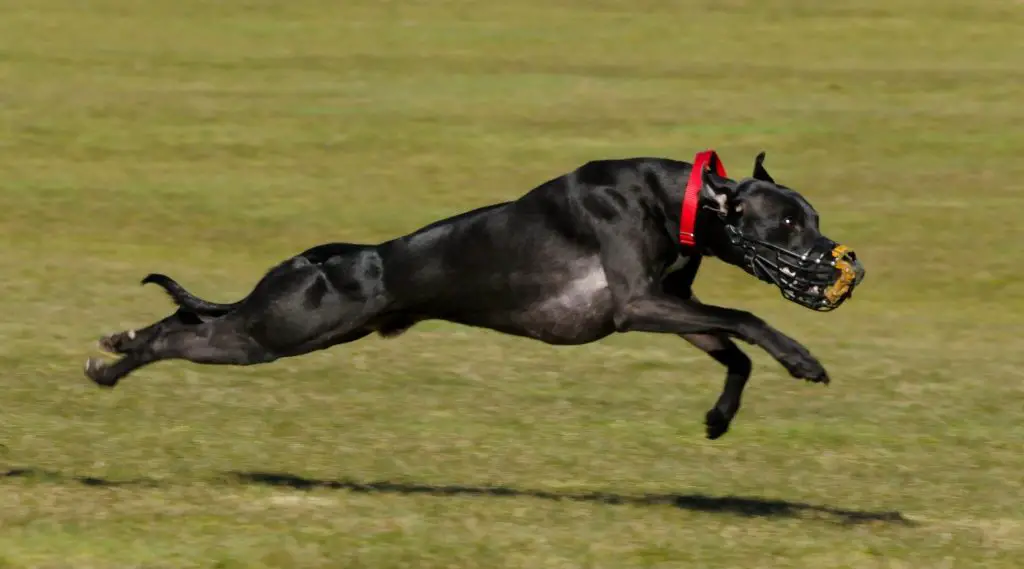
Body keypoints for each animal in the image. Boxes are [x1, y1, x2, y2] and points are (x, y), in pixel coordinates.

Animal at [88, 151, 864, 440]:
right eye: (786, 224)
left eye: (814, 217)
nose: (841, 265)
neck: (682, 198)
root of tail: (319, 259)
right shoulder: (636, 306)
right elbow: (750, 317)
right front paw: (804, 358)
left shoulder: (669, 307)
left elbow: (736, 352)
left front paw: (718, 417)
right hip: (279, 328)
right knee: (177, 331)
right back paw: (111, 362)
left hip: (285, 327)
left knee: (184, 315)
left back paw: (116, 347)